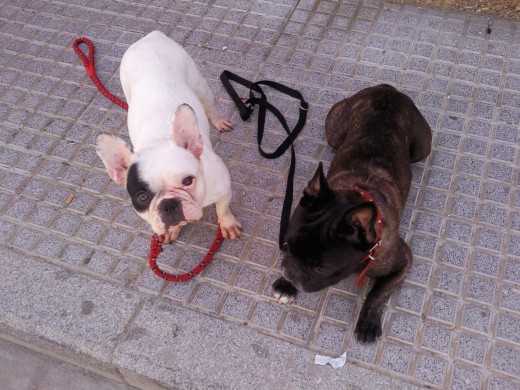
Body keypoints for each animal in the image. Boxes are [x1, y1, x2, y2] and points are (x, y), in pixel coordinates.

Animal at [272, 83, 430, 342]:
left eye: (321, 268)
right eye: (287, 246)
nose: (291, 272)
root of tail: (387, 89)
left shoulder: (402, 260)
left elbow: (379, 292)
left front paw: (368, 322)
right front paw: (286, 285)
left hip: (422, 147)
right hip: (334, 131)